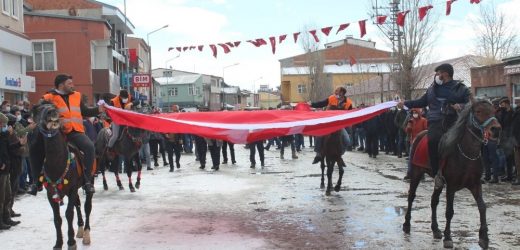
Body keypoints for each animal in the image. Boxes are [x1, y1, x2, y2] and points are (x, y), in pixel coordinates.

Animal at [31, 103, 93, 248]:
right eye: (40, 109)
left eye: (54, 106)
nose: (52, 112)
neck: (57, 163)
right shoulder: (51, 194)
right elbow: (57, 219)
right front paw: (59, 243)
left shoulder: (72, 189)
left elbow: (69, 214)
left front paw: (71, 242)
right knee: (78, 204)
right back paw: (80, 229)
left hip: (88, 182)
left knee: (87, 207)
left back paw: (86, 233)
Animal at [404, 100, 502, 249]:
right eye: (478, 111)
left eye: (493, 111)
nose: (496, 129)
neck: (467, 154)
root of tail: (419, 135)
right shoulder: (451, 186)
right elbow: (449, 211)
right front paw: (448, 238)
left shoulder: (475, 184)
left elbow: (482, 207)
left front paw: (484, 238)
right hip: (416, 173)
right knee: (411, 196)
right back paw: (407, 225)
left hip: (438, 182)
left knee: (434, 201)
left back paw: (435, 229)